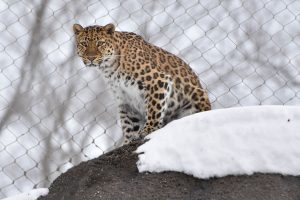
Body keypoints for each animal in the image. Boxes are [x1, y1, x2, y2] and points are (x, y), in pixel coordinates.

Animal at [72, 23, 211, 145]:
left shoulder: (158, 81)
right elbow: (129, 124)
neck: (108, 68)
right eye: (83, 44)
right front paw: (128, 142)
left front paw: (147, 130)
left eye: (100, 43)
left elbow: (154, 109)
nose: (91, 58)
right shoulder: (125, 99)